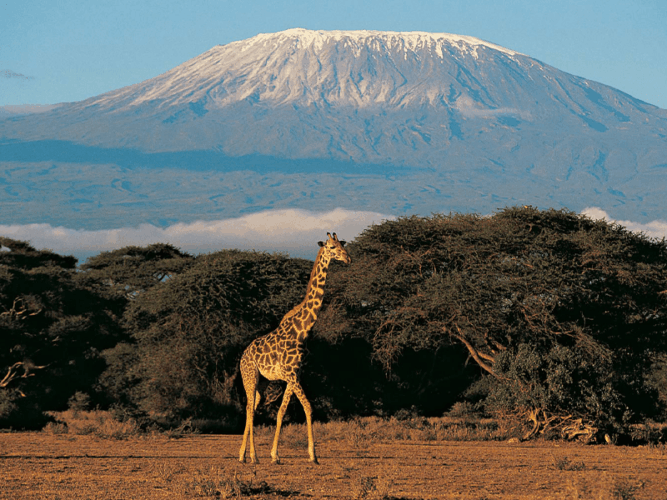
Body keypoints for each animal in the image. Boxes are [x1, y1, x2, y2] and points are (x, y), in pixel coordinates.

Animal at [238, 232, 351, 464]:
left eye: (343, 245)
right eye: (331, 247)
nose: (347, 258)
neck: (303, 330)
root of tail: (242, 356)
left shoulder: (294, 375)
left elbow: (282, 411)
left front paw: (277, 455)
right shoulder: (291, 374)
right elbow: (308, 406)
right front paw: (311, 455)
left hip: (262, 383)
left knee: (251, 407)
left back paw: (242, 455)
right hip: (249, 376)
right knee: (250, 408)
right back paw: (253, 456)